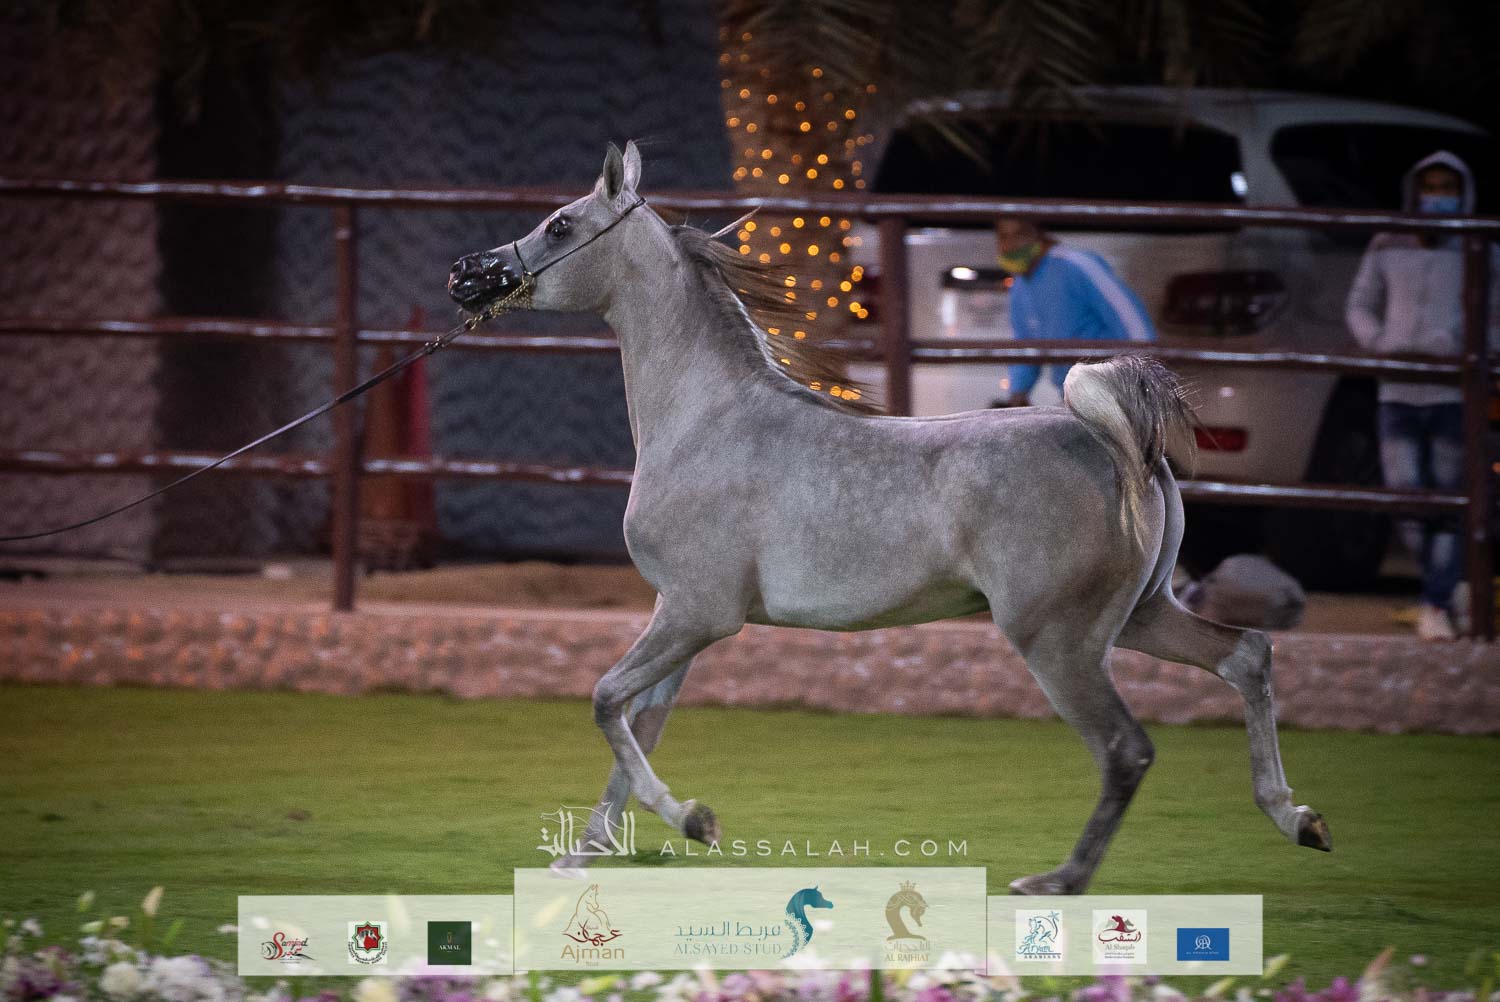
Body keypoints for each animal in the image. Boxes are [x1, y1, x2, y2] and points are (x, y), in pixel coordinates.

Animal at [447, 141, 1332, 894]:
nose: (467, 274)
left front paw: (694, 821)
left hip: (1058, 640)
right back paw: (1299, 820)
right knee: (1245, 656)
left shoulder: (699, 613)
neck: (707, 419)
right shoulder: (680, 616)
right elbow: (640, 722)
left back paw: (1058, 880)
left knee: (1127, 749)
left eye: (561, 225)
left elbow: (606, 700)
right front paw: (585, 852)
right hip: (1139, 616)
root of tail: (1119, 446)